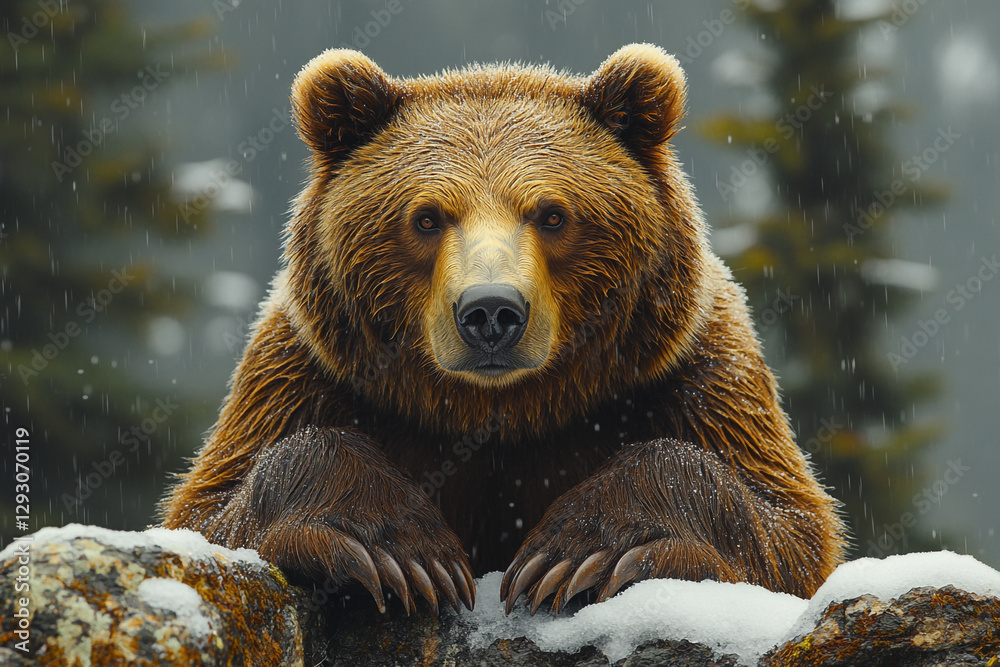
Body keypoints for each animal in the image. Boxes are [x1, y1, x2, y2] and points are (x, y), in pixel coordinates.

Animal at [161, 43, 845, 617]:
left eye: (552, 214)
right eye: (427, 217)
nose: (491, 312)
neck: (501, 411)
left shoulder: (689, 370)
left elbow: (788, 528)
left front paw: (579, 552)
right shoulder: (310, 370)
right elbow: (214, 507)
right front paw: (399, 549)